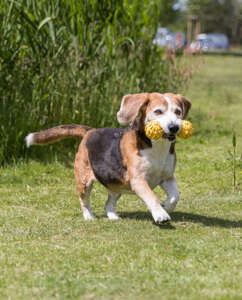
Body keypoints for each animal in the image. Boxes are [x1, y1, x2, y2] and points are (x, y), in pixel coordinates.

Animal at [25, 92, 191, 224]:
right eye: (158, 111)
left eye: (178, 112)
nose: (174, 127)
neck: (156, 147)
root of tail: (90, 131)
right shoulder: (138, 180)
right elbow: (152, 197)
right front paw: (160, 214)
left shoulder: (167, 177)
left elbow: (175, 196)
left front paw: (166, 206)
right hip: (84, 182)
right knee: (84, 201)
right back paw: (89, 217)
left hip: (116, 185)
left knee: (108, 203)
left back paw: (113, 216)